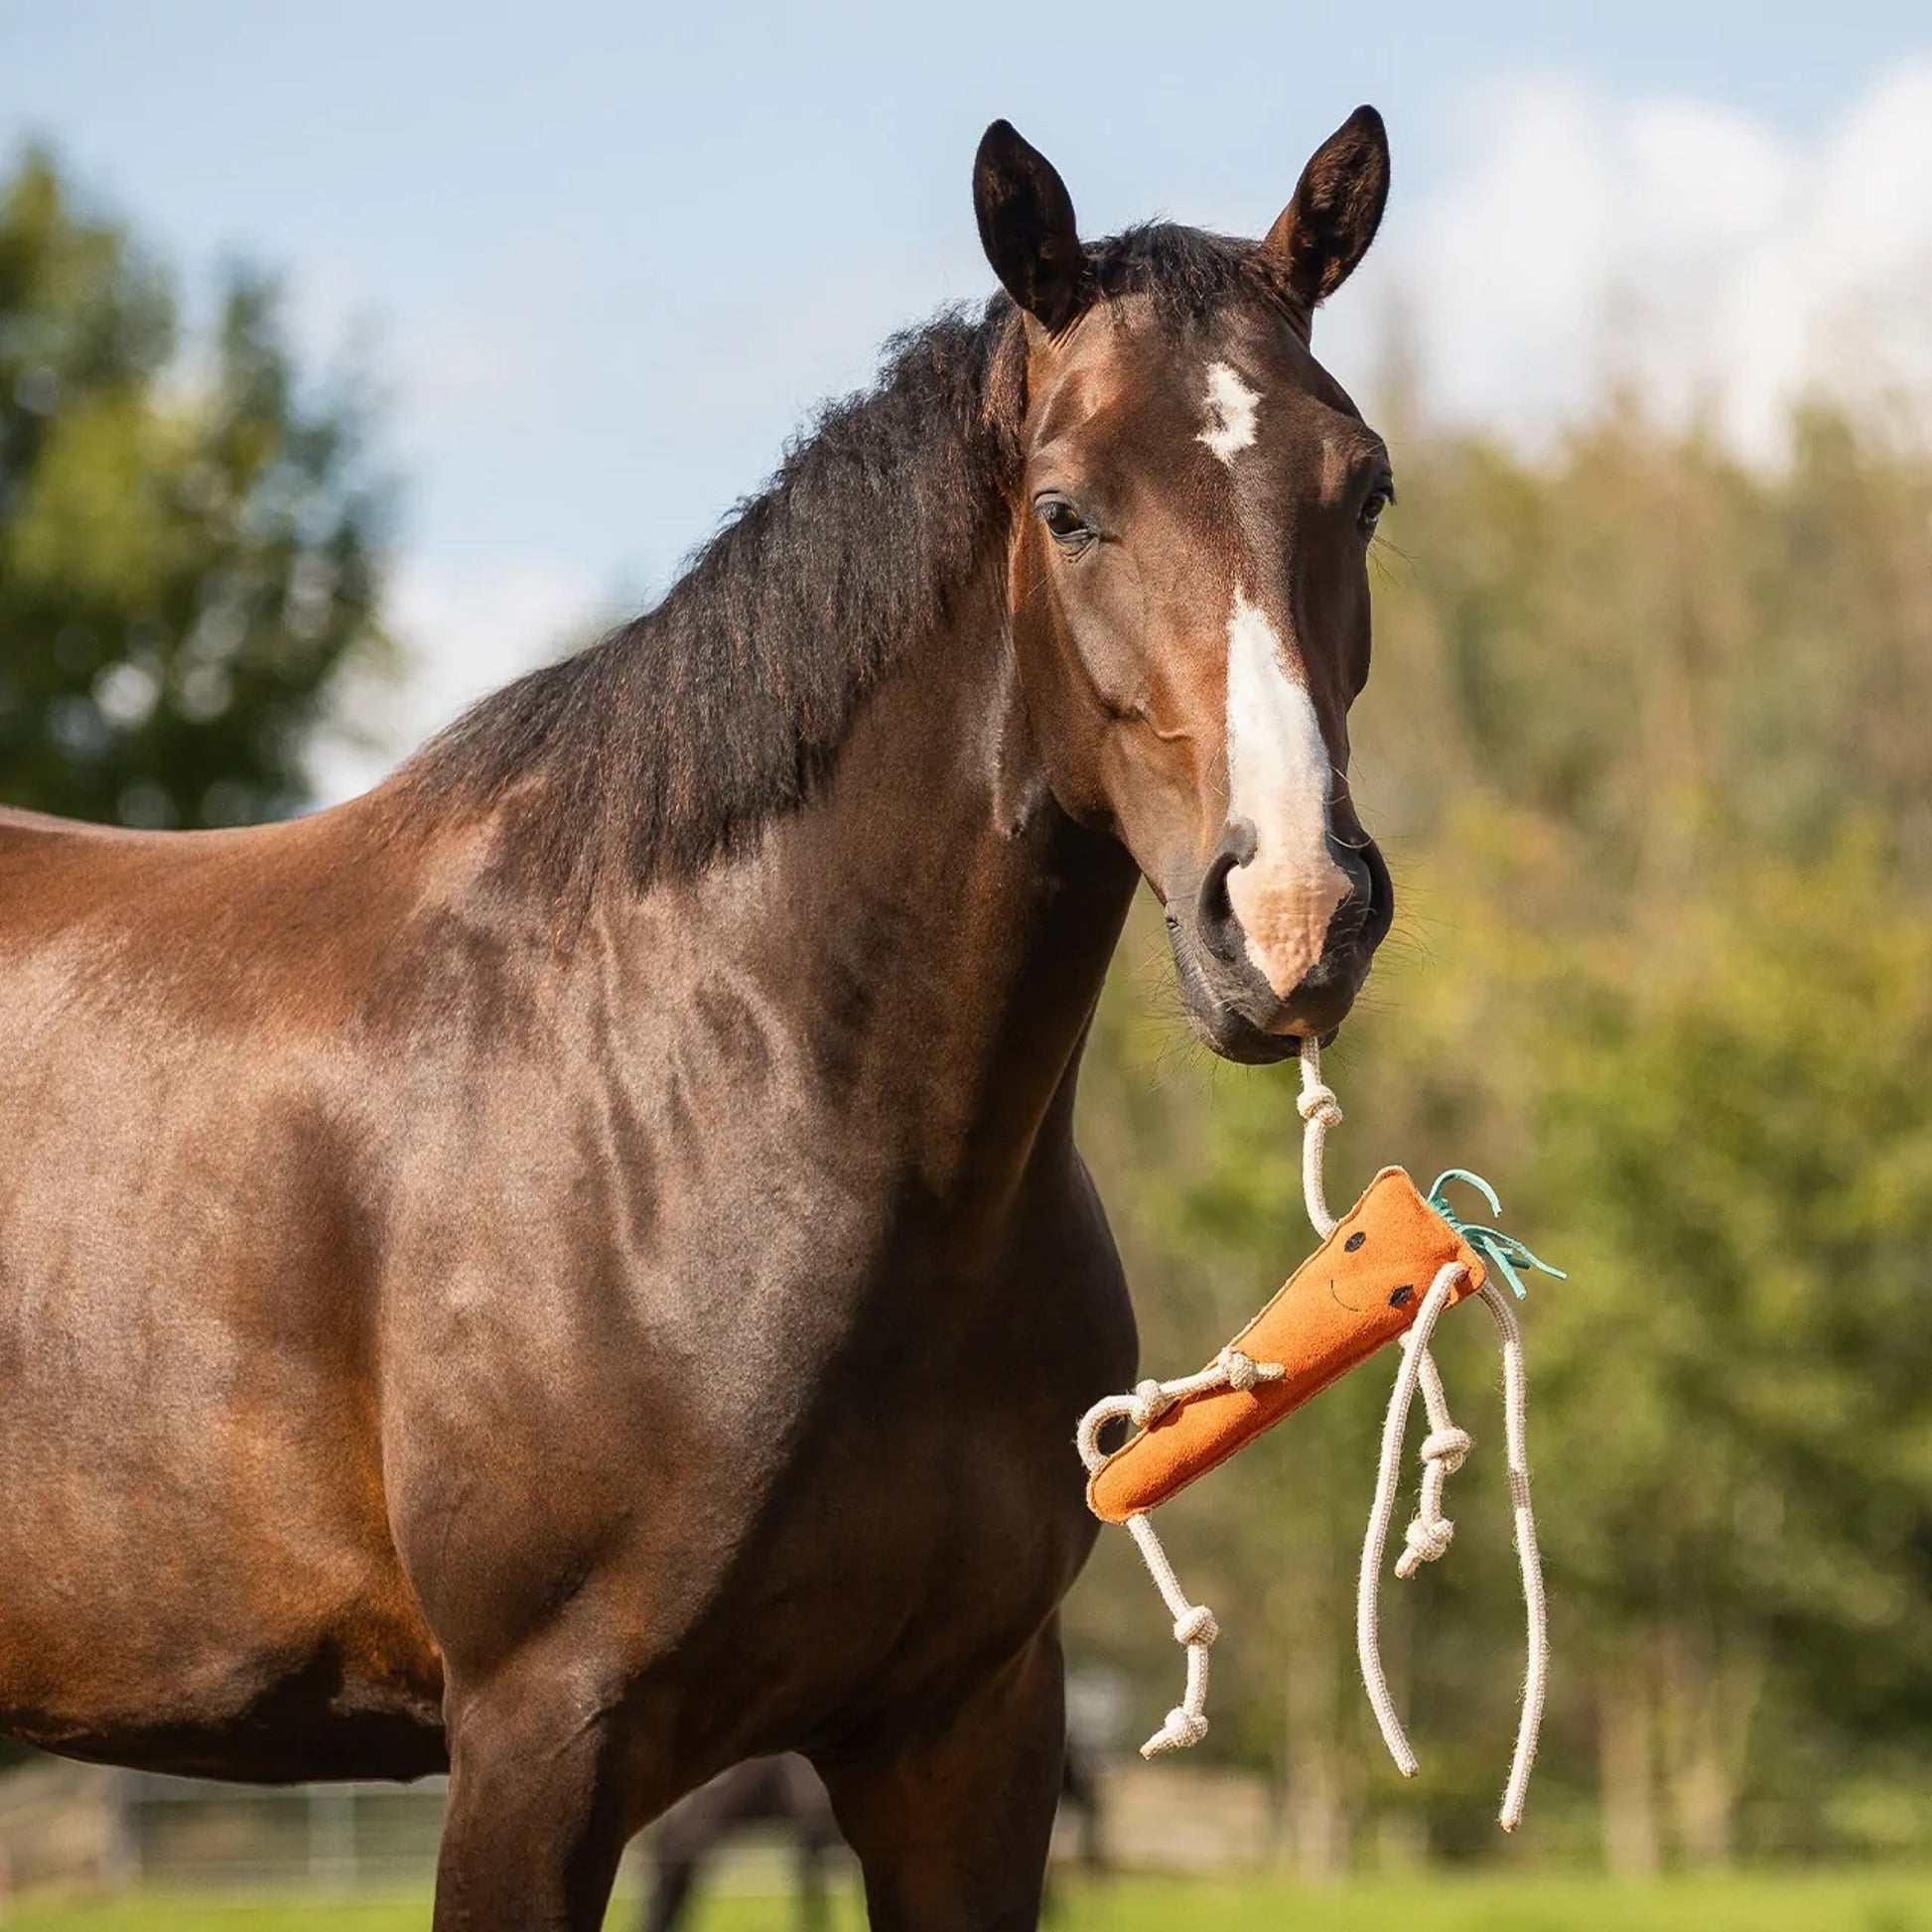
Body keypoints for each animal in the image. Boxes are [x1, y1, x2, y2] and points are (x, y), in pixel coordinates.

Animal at [0, 108, 1397, 1928]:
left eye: (1363, 486)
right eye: (1068, 509)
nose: (1292, 915)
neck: (724, 1097)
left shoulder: (966, 1736)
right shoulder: (537, 1745)